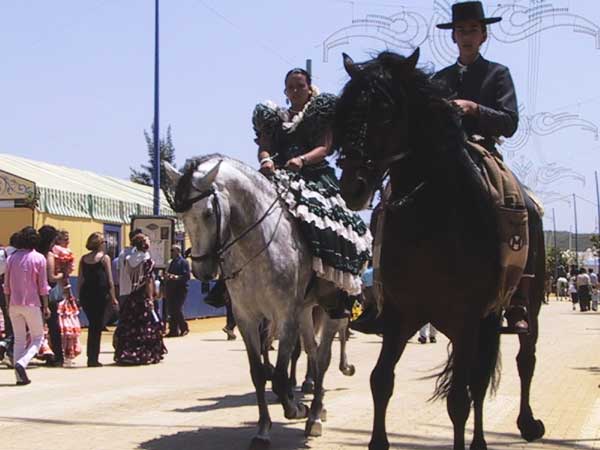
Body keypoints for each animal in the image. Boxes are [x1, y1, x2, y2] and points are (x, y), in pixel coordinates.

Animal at [164, 154, 350, 446]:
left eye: (208, 213)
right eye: (181, 216)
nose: (202, 271)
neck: (258, 244)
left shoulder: (285, 316)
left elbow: (280, 375)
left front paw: (296, 408)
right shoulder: (247, 317)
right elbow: (259, 373)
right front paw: (263, 429)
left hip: (329, 309)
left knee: (324, 356)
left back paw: (315, 415)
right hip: (305, 311)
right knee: (313, 350)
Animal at [336, 50, 548, 450]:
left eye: (385, 110)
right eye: (345, 109)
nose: (353, 186)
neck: (429, 221)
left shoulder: (466, 317)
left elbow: (459, 400)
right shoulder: (401, 314)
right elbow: (380, 381)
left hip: (519, 308)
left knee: (520, 362)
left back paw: (526, 423)